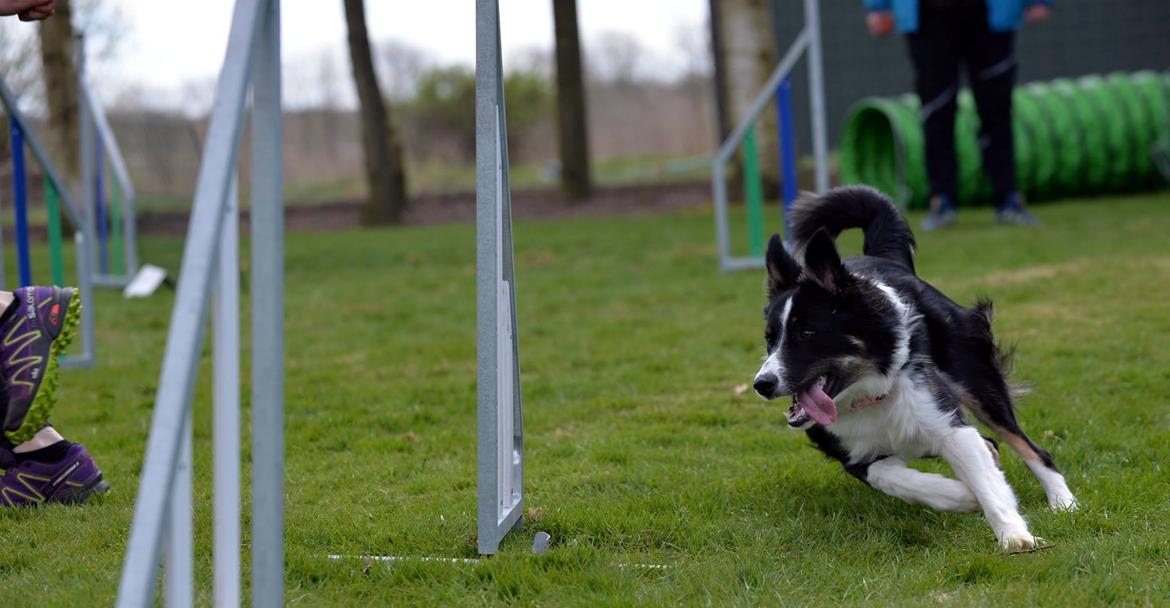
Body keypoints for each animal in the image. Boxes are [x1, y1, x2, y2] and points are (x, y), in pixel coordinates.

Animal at [758, 184, 1076, 551]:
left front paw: (1014, 536)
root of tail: (884, 258)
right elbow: (898, 479)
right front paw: (963, 497)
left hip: (977, 380)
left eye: (807, 334)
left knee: (1031, 447)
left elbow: (985, 479)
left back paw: (1064, 502)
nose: (762, 383)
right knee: (991, 444)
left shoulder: (945, 420)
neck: (869, 394)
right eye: (770, 339)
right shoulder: (853, 454)